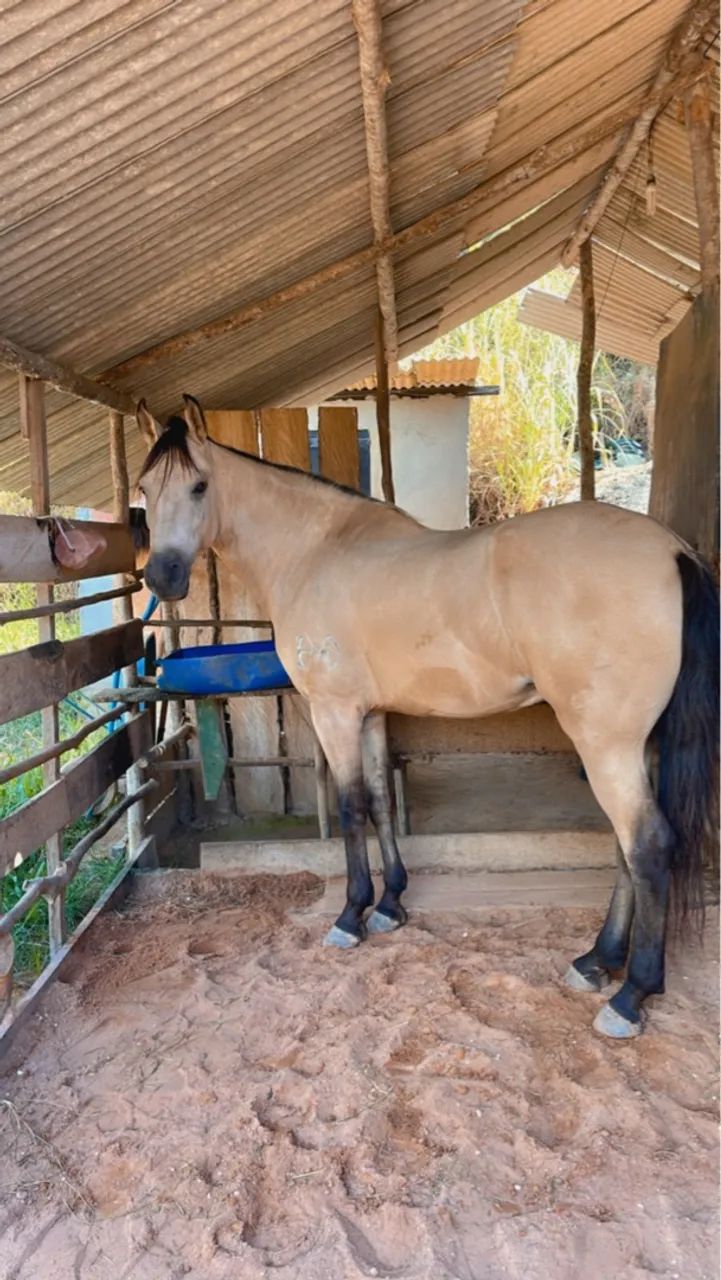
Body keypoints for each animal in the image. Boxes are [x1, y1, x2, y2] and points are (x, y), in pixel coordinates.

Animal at [136, 395, 719, 1040]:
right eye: (143, 489)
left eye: (199, 486)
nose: (161, 577)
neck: (315, 552)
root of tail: (672, 550)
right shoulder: (370, 715)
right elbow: (379, 802)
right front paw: (391, 905)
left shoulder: (335, 712)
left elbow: (350, 807)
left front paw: (351, 915)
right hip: (636, 745)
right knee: (623, 848)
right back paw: (596, 960)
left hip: (606, 743)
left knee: (647, 846)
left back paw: (630, 995)